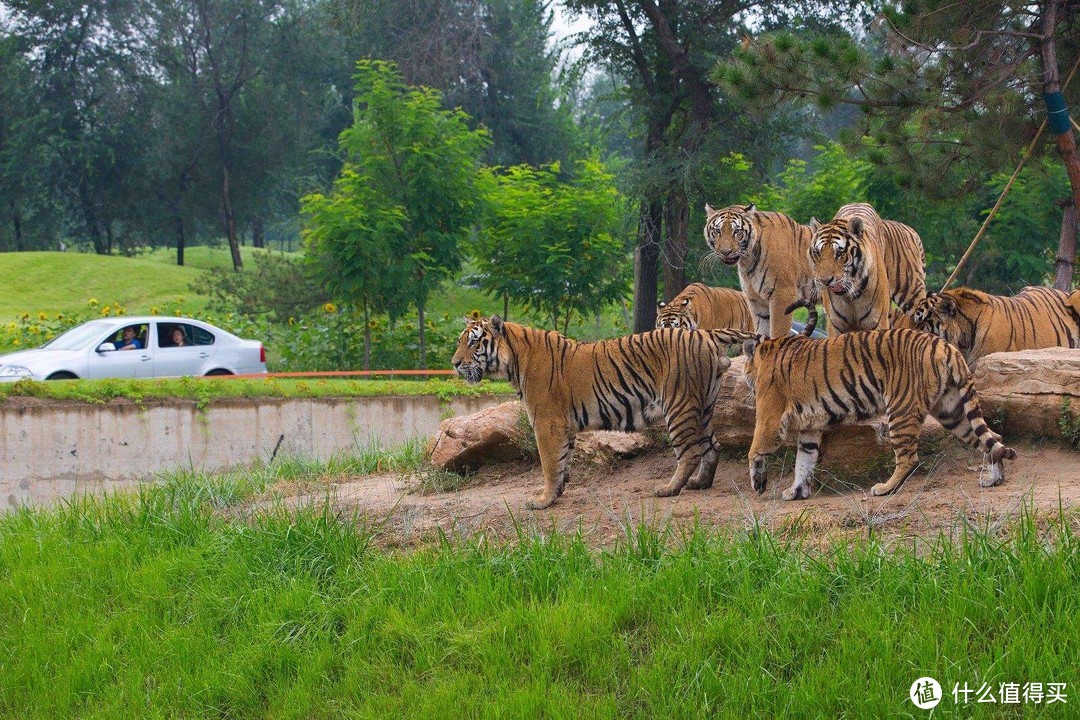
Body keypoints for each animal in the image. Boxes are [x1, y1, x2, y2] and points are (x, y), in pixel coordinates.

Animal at [451, 317, 747, 509]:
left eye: (474, 343)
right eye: (460, 341)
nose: (454, 364)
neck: (513, 361)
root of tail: (705, 334)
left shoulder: (547, 422)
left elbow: (549, 463)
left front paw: (543, 501)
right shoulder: (565, 425)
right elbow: (563, 461)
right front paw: (556, 492)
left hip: (679, 405)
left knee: (690, 452)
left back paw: (669, 489)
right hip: (704, 407)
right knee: (713, 446)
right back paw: (700, 483)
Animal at [699, 202, 816, 338]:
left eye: (737, 231)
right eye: (718, 231)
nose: (725, 252)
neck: (747, 260)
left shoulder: (783, 294)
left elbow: (778, 331)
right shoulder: (757, 300)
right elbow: (762, 331)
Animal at [738, 328, 1015, 500]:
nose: (745, 380)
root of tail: (945, 345)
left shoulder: (770, 418)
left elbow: (755, 449)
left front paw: (758, 483)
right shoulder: (810, 427)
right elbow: (804, 461)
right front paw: (796, 492)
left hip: (901, 410)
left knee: (909, 458)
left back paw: (885, 488)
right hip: (952, 410)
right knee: (993, 438)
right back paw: (995, 479)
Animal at [812, 202, 928, 334]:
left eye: (840, 252)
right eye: (818, 252)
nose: (824, 281)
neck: (850, 297)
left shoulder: (877, 322)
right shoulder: (835, 325)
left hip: (912, 295)